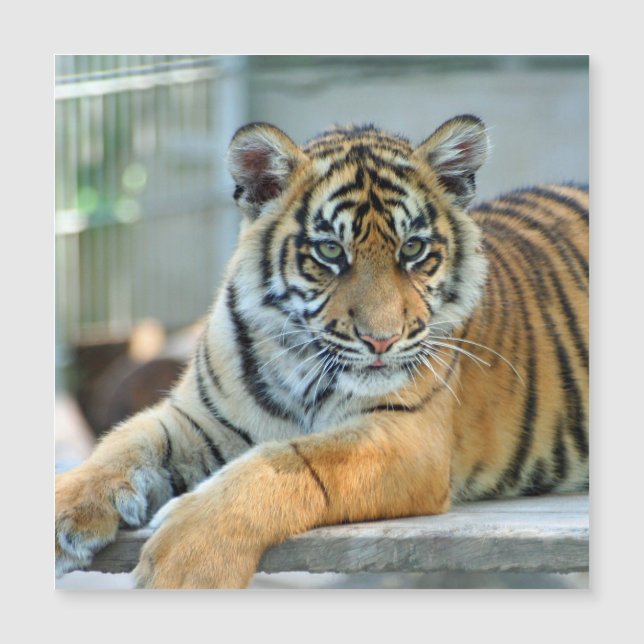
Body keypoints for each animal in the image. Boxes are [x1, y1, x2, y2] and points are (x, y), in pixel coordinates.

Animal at [55, 115, 589, 588]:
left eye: (413, 249)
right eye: (330, 252)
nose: (381, 339)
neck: (299, 364)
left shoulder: (409, 437)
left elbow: (291, 463)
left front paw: (185, 562)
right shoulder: (199, 418)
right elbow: (124, 444)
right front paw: (64, 509)